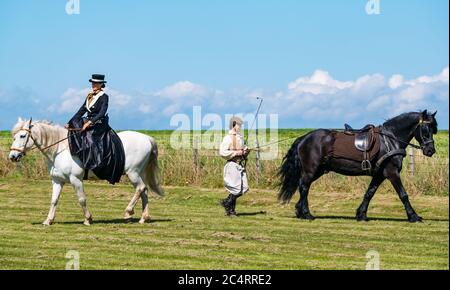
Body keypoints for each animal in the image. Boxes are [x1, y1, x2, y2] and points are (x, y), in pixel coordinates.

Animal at [8, 117, 164, 224]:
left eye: (22, 136)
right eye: (14, 136)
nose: (13, 156)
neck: (59, 150)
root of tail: (147, 138)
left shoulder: (75, 179)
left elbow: (81, 199)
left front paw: (88, 219)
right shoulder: (57, 181)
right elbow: (54, 200)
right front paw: (48, 220)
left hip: (133, 173)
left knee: (140, 188)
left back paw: (128, 212)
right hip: (139, 173)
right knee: (144, 190)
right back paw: (144, 218)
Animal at [280, 110, 438, 222]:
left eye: (434, 129)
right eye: (426, 129)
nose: (430, 151)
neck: (390, 140)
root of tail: (304, 138)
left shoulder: (379, 174)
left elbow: (369, 193)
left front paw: (361, 214)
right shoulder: (392, 173)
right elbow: (403, 194)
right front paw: (414, 216)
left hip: (318, 170)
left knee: (303, 186)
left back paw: (299, 211)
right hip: (311, 170)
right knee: (304, 187)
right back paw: (307, 214)